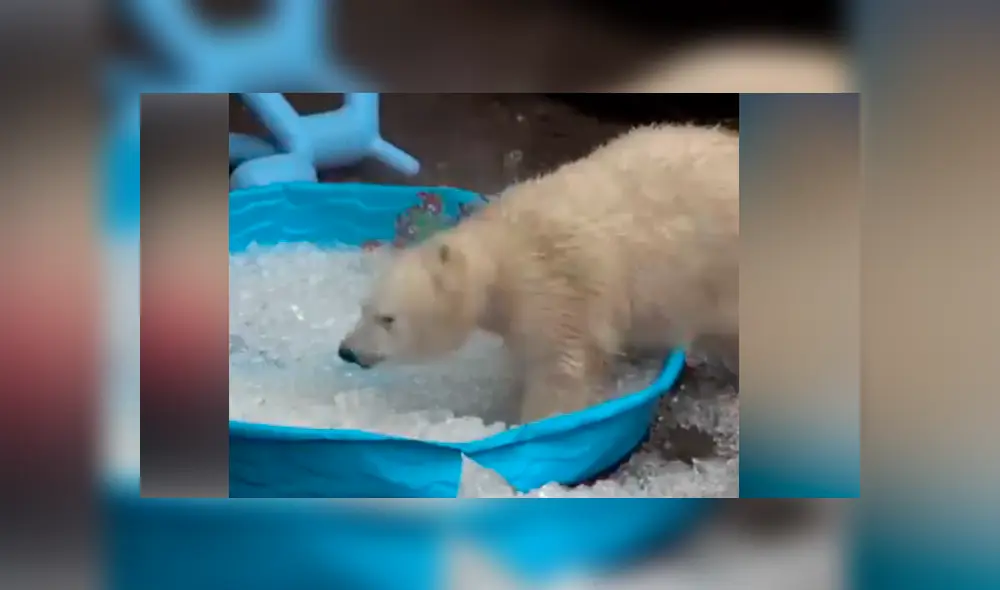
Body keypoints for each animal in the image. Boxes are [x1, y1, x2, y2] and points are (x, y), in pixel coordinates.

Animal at [339, 123, 739, 423]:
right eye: (362, 307)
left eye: (388, 318)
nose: (348, 351)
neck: (505, 248)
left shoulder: (557, 291)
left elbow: (560, 367)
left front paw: (531, 421)